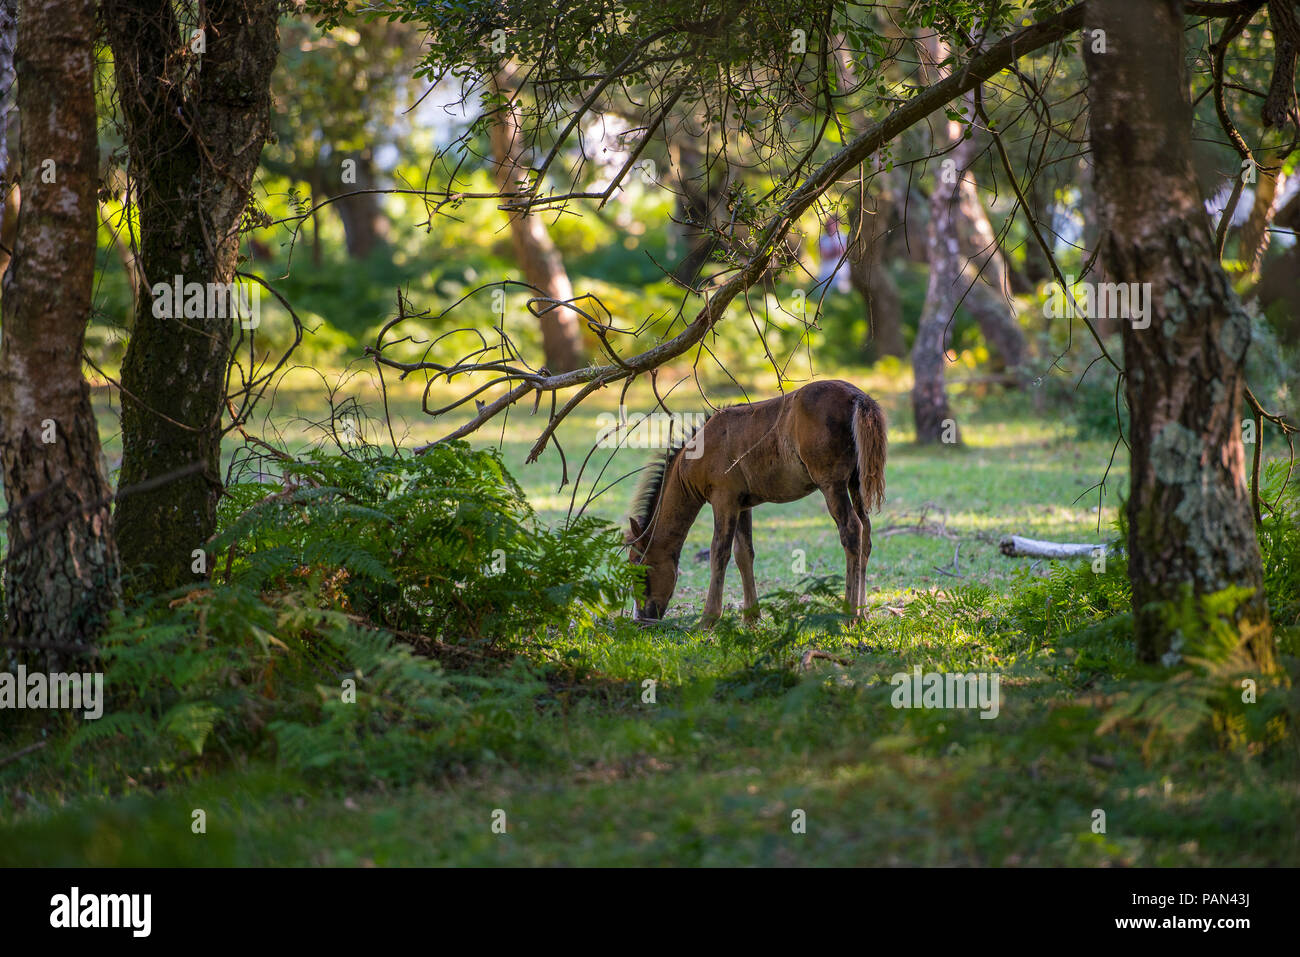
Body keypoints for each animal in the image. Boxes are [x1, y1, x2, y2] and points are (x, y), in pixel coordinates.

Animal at [625, 379, 886, 624]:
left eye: (640, 571)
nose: (642, 618)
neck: (698, 453)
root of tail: (858, 396)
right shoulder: (742, 504)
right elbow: (744, 554)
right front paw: (751, 617)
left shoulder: (724, 499)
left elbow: (719, 553)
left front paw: (708, 618)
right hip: (855, 483)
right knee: (866, 533)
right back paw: (863, 613)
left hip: (832, 485)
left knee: (851, 530)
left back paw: (850, 614)